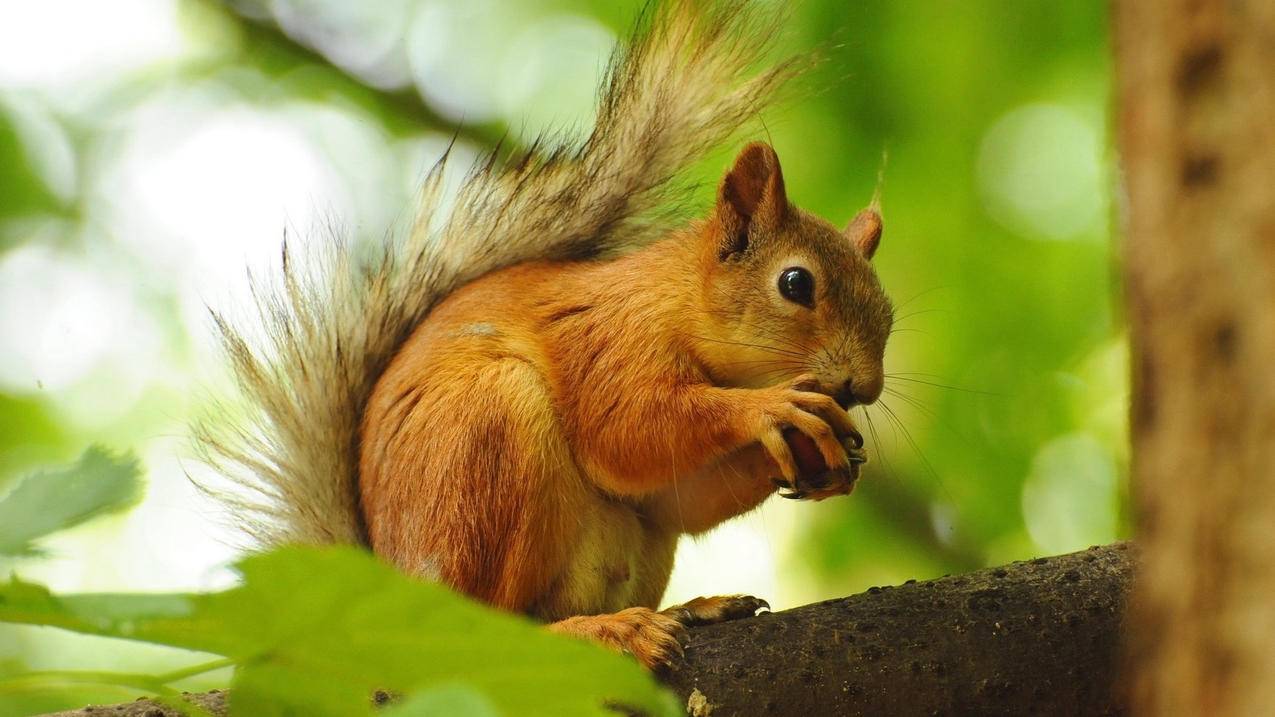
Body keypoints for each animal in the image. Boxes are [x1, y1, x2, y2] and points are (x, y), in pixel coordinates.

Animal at [193, 1, 897, 668]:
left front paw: (827, 456)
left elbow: (676, 497)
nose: (863, 387)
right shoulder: (608, 342)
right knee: (493, 630)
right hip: (487, 444)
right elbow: (626, 430)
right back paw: (604, 630)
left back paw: (690, 609)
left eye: (889, 312)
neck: (675, 302)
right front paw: (770, 408)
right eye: (796, 284)